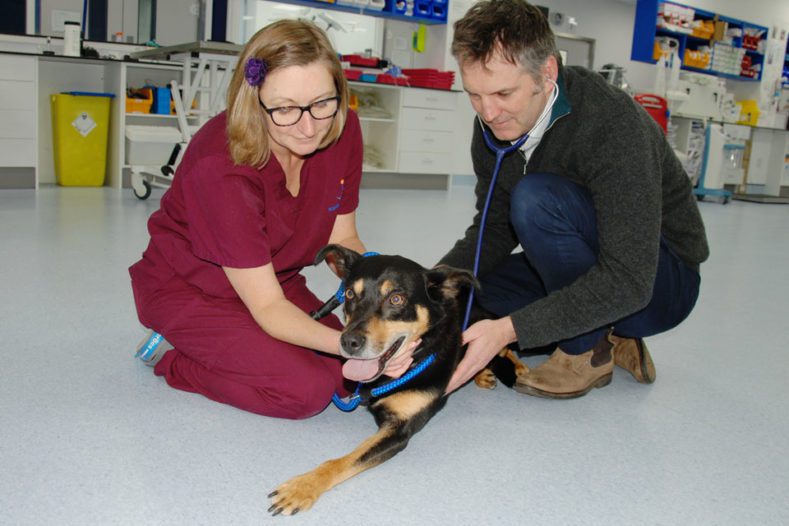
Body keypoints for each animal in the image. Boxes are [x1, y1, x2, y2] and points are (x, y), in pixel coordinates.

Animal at [266, 246, 524, 516]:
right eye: (349, 293)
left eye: (396, 299)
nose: (348, 342)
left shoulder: (399, 431)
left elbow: (340, 462)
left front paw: (302, 487)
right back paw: (482, 373)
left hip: (487, 321)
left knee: (506, 347)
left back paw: (519, 369)